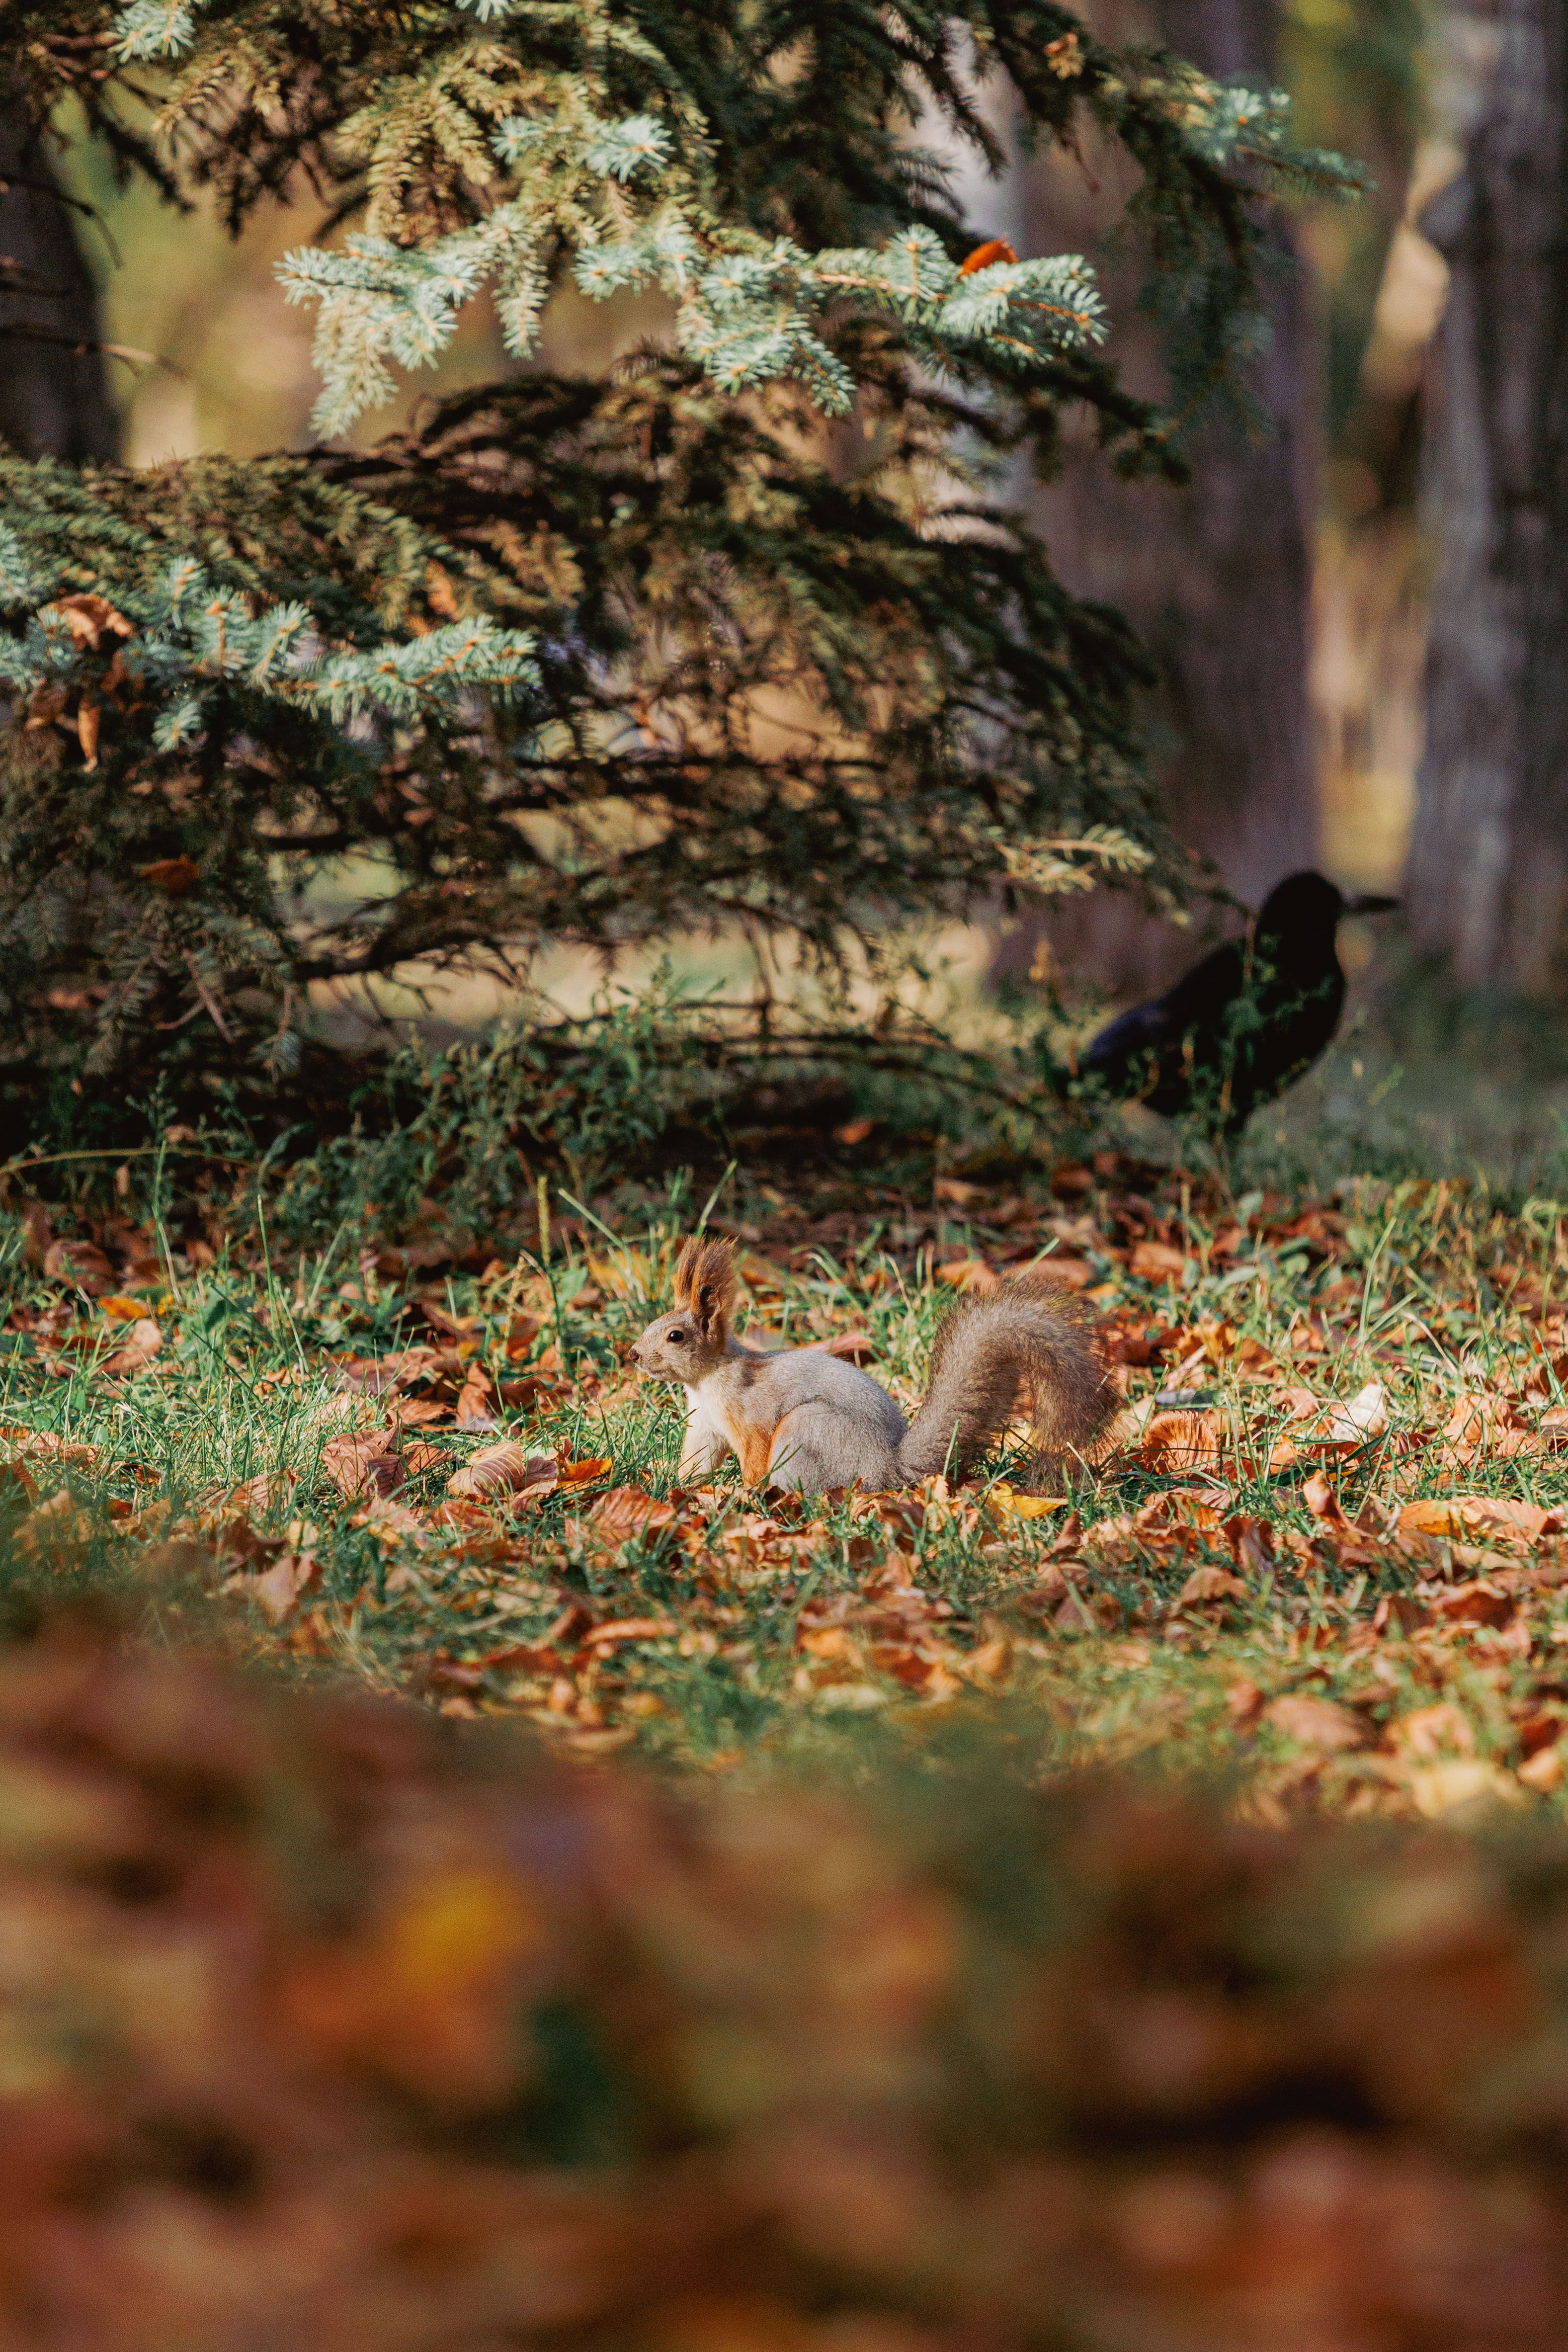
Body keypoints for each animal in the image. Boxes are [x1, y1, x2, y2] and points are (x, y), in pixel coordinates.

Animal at [629, 1235, 1114, 1494]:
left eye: (675, 1336)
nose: (632, 1354)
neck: (708, 1380)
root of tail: (888, 1469)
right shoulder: (706, 1427)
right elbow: (697, 1461)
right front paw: (669, 1485)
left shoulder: (753, 1415)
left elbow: (755, 1452)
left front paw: (744, 1491)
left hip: (808, 1431)